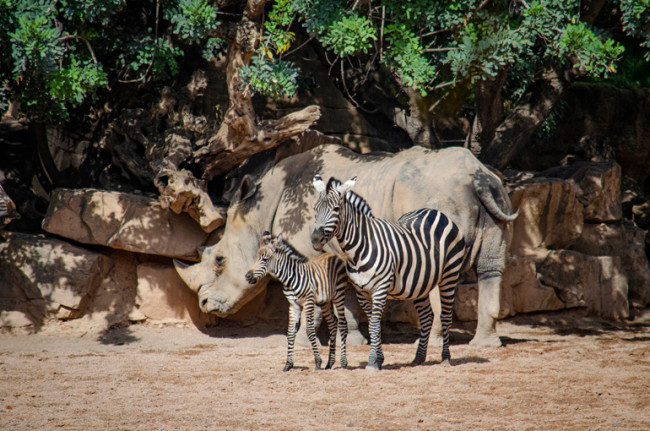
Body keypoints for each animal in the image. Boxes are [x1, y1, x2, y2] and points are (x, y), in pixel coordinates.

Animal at [244, 233, 354, 372]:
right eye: (256, 258)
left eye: (264, 259)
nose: (247, 276)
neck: (290, 279)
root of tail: (333, 255)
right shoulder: (293, 305)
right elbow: (290, 333)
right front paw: (288, 364)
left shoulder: (308, 302)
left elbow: (310, 331)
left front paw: (318, 362)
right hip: (325, 301)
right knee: (333, 323)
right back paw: (330, 363)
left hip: (339, 294)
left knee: (343, 324)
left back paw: (343, 362)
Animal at [310, 176, 466, 372]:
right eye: (315, 209)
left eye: (336, 209)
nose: (315, 239)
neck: (359, 248)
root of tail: (436, 212)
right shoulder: (361, 292)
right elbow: (372, 324)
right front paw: (379, 359)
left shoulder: (380, 288)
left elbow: (375, 325)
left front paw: (372, 362)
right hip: (419, 283)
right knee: (426, 316)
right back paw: (418, 357)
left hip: (449, 275)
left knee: (445, 315)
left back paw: (445, 358)